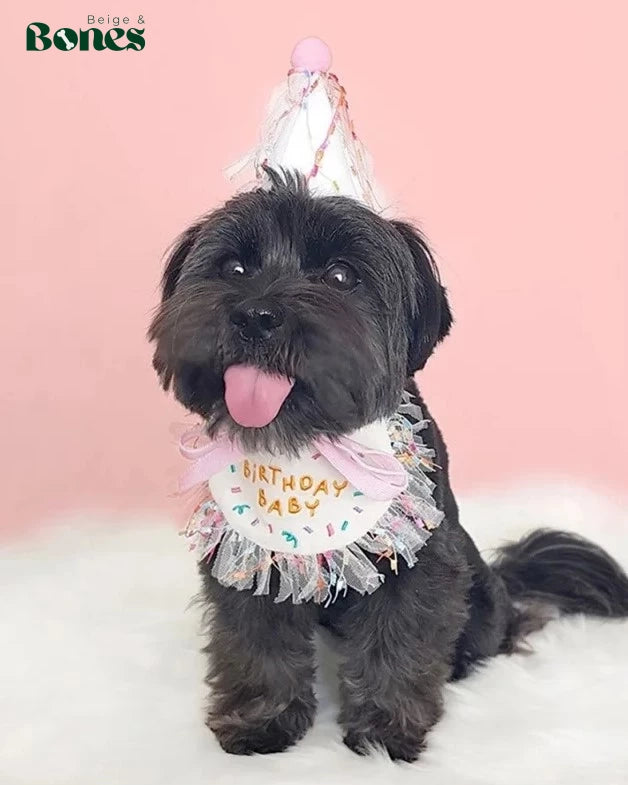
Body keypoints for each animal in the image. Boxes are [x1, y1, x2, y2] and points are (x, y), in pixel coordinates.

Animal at [148, 170, 628, 760]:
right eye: (234, 268)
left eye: (340, 275)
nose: (255, 316)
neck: (308, 447)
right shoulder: (250, 558)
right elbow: (257, 641)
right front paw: (262, 720)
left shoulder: (417, 565)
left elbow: (398, 646)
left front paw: (385, 733)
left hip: (479, 604)